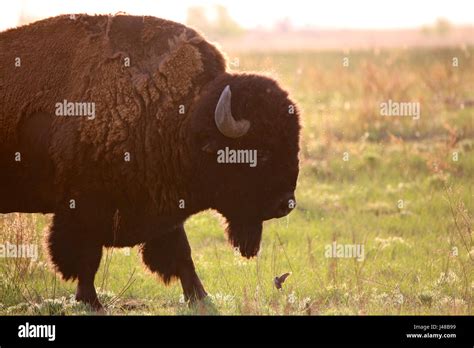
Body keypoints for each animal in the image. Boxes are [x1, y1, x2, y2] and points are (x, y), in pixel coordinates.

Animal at [0, 14, 300, 312]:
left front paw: (200, 297)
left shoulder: (160, 207)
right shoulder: (82, 209)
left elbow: (182, 254)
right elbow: (87, 259)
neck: (181, 119)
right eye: (262, 152)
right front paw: (91, 302)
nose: (285, 204)